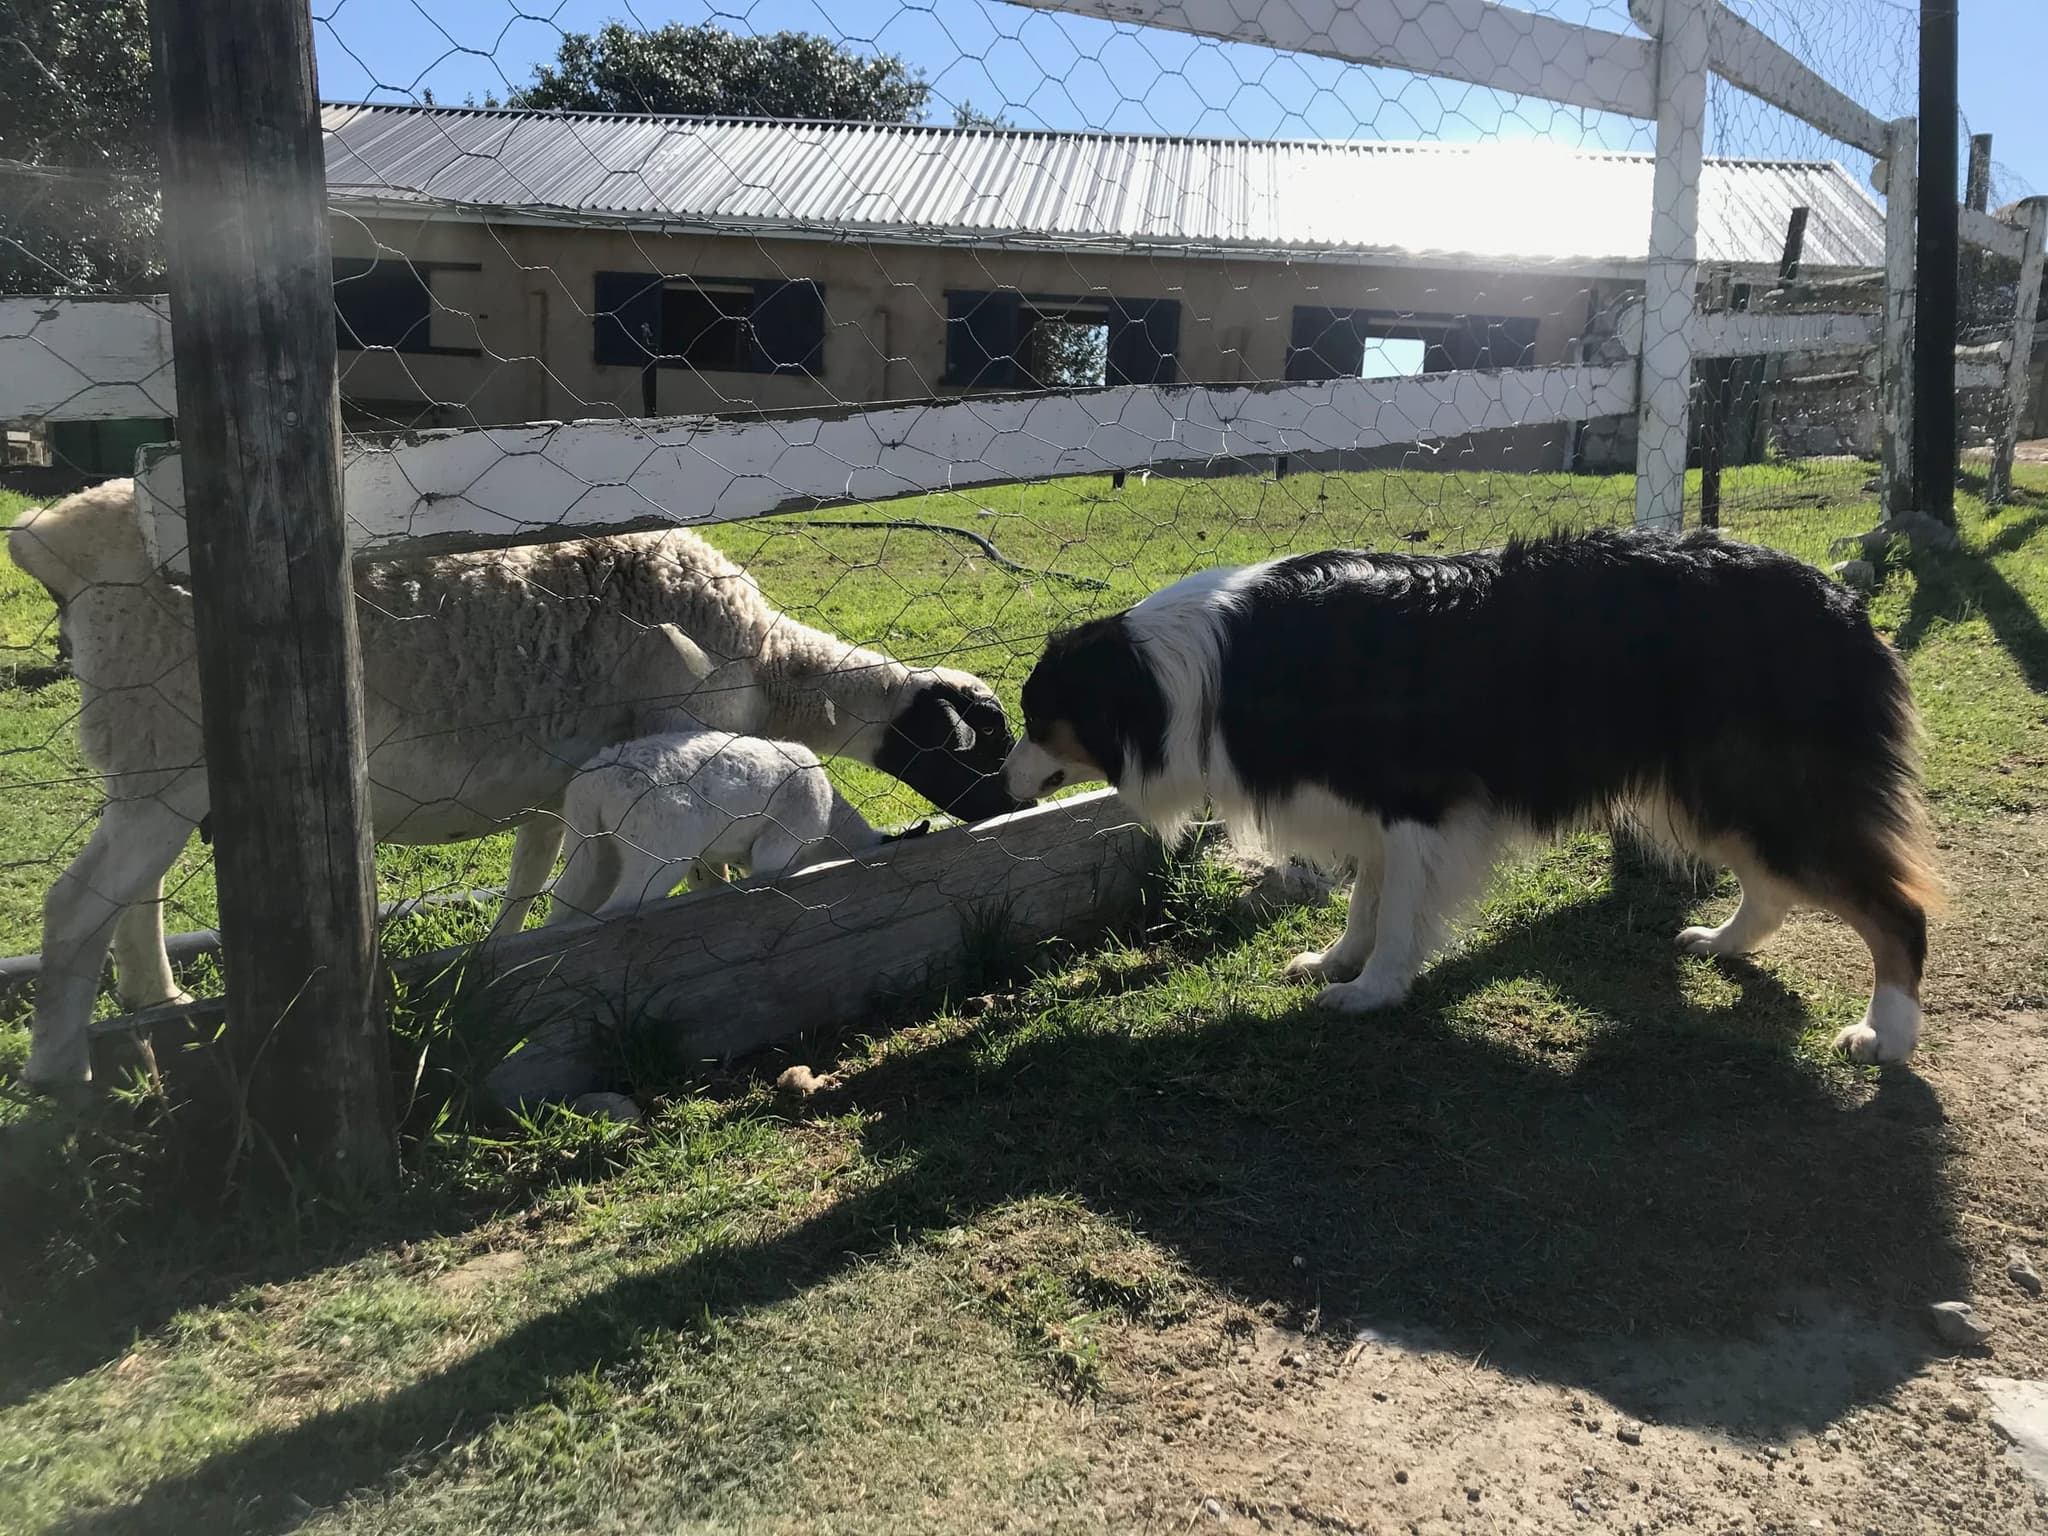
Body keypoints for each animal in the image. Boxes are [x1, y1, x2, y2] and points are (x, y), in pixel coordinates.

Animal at [545, 729, 932, 929]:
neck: (836, 826)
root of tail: (594, 781)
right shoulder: (776, 850)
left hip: (591, 847)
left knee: (566, 906)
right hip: (656, 854)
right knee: (614, 909)